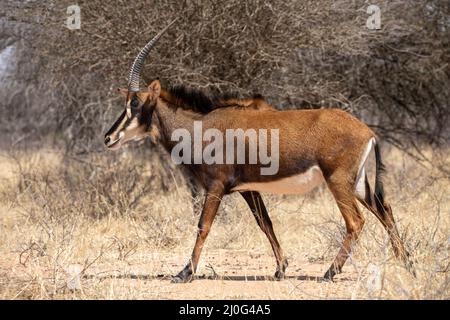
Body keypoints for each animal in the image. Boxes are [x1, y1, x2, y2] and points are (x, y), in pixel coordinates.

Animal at [103, 20, 414, 282]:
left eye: (135, 104)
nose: (108, 137)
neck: (201, 125)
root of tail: (368, 131)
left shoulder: (216, 186)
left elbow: (203, 226)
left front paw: (184, 273)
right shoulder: (248, 189)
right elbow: (266, 223)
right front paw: (281, 269)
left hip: (337, 181)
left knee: (356, 222)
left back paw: (329, 273)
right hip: (357, 183)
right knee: (384, 211)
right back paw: (406, 264)